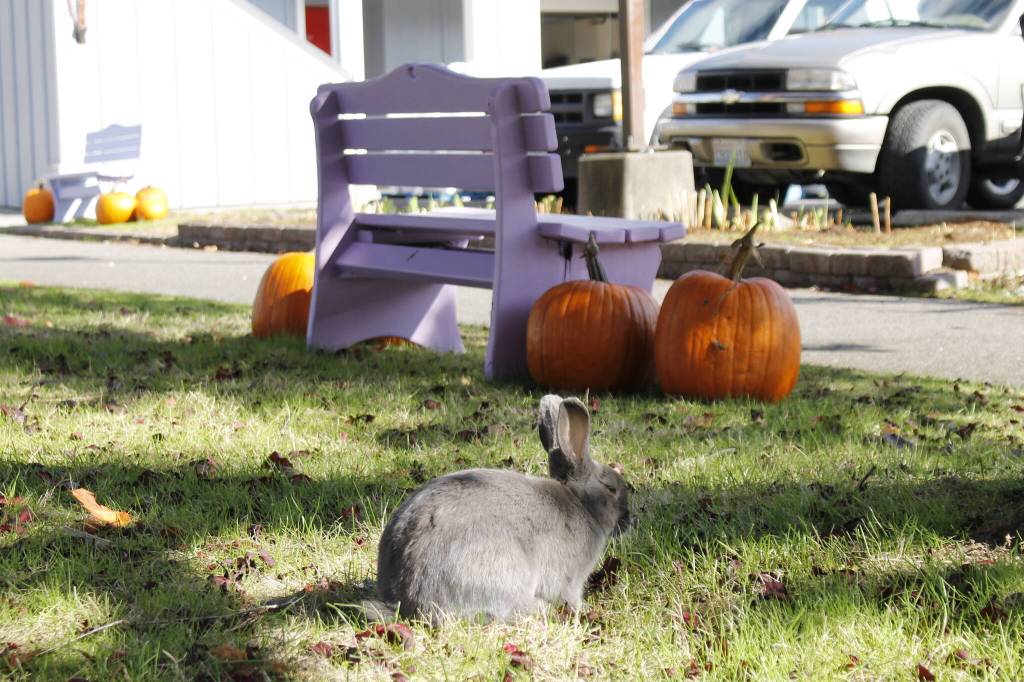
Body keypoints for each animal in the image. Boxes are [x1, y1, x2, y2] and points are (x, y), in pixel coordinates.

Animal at [373, 394, 630, 624]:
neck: (581, 502)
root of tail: (404, 598)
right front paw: (582, 608)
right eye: (611, 488)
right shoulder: (570, 580)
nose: (627, 520)